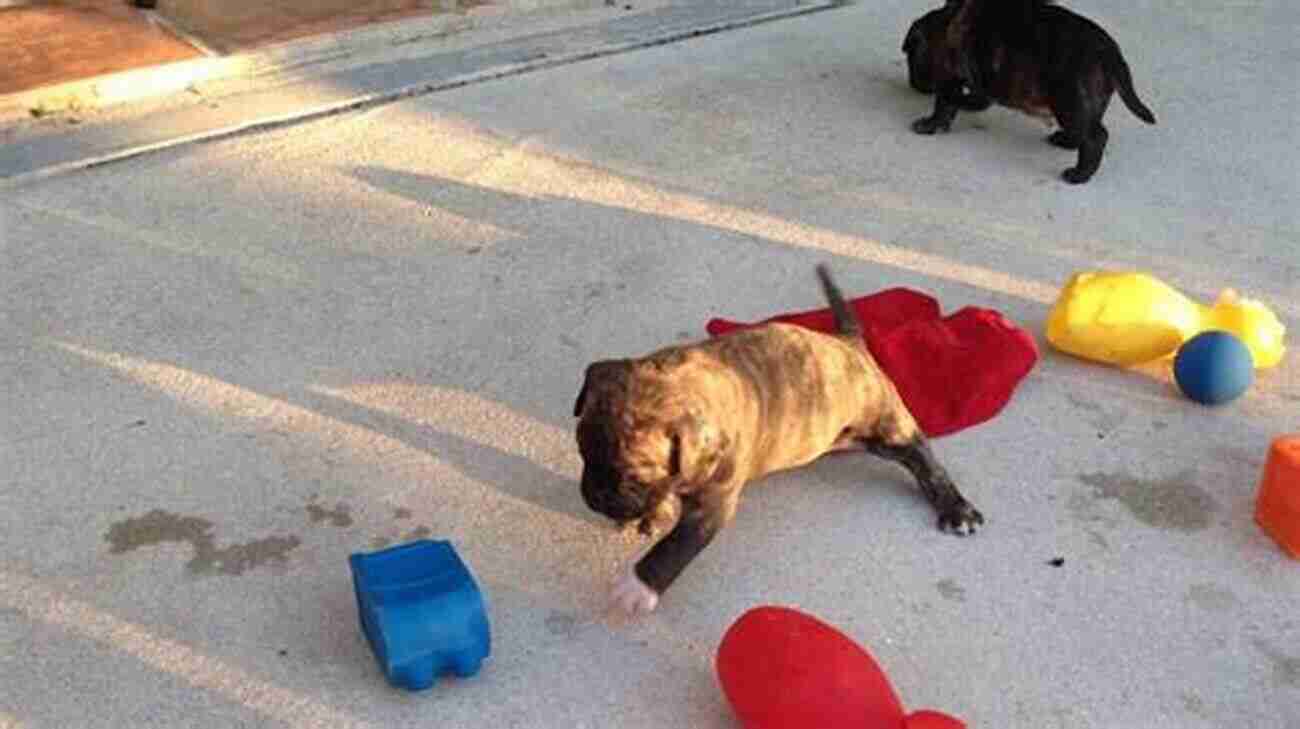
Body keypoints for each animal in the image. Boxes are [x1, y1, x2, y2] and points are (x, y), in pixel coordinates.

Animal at [574, 263, 977, 610]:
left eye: (633, 476)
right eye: (582, 453)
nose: (595, 496)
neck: (683, 383)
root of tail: (851, 344)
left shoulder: (712, 505)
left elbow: (675, 546)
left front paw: (638, 586)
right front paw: (655, 513)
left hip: (886, 425)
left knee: (922, 458)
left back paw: (956, 508)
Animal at [915, 0, 1159, 184]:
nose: (915, 84)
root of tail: (1110, 54)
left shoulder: (960, 77)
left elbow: (946, 101)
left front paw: (931, 122)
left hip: (1070, 103)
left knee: (1095, 137)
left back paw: (1079, 175)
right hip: (1084, 105)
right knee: (1086, 130)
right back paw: (1066, 142)